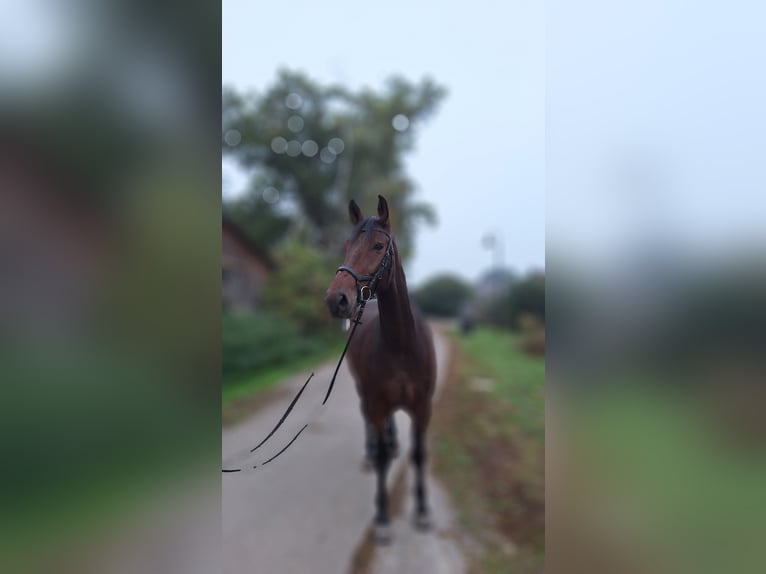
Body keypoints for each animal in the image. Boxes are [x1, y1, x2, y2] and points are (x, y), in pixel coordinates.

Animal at [325, 195, 436, 543]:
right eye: (346, 245)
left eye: (377, 245)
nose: (337, 300)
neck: (401, 346)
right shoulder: (377, 401)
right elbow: (384, 458)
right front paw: (384, 518)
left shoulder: (422, 407)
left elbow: (420, 455)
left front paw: (423, 512)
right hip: (363, 390)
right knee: (369, 423)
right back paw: (370, 451)